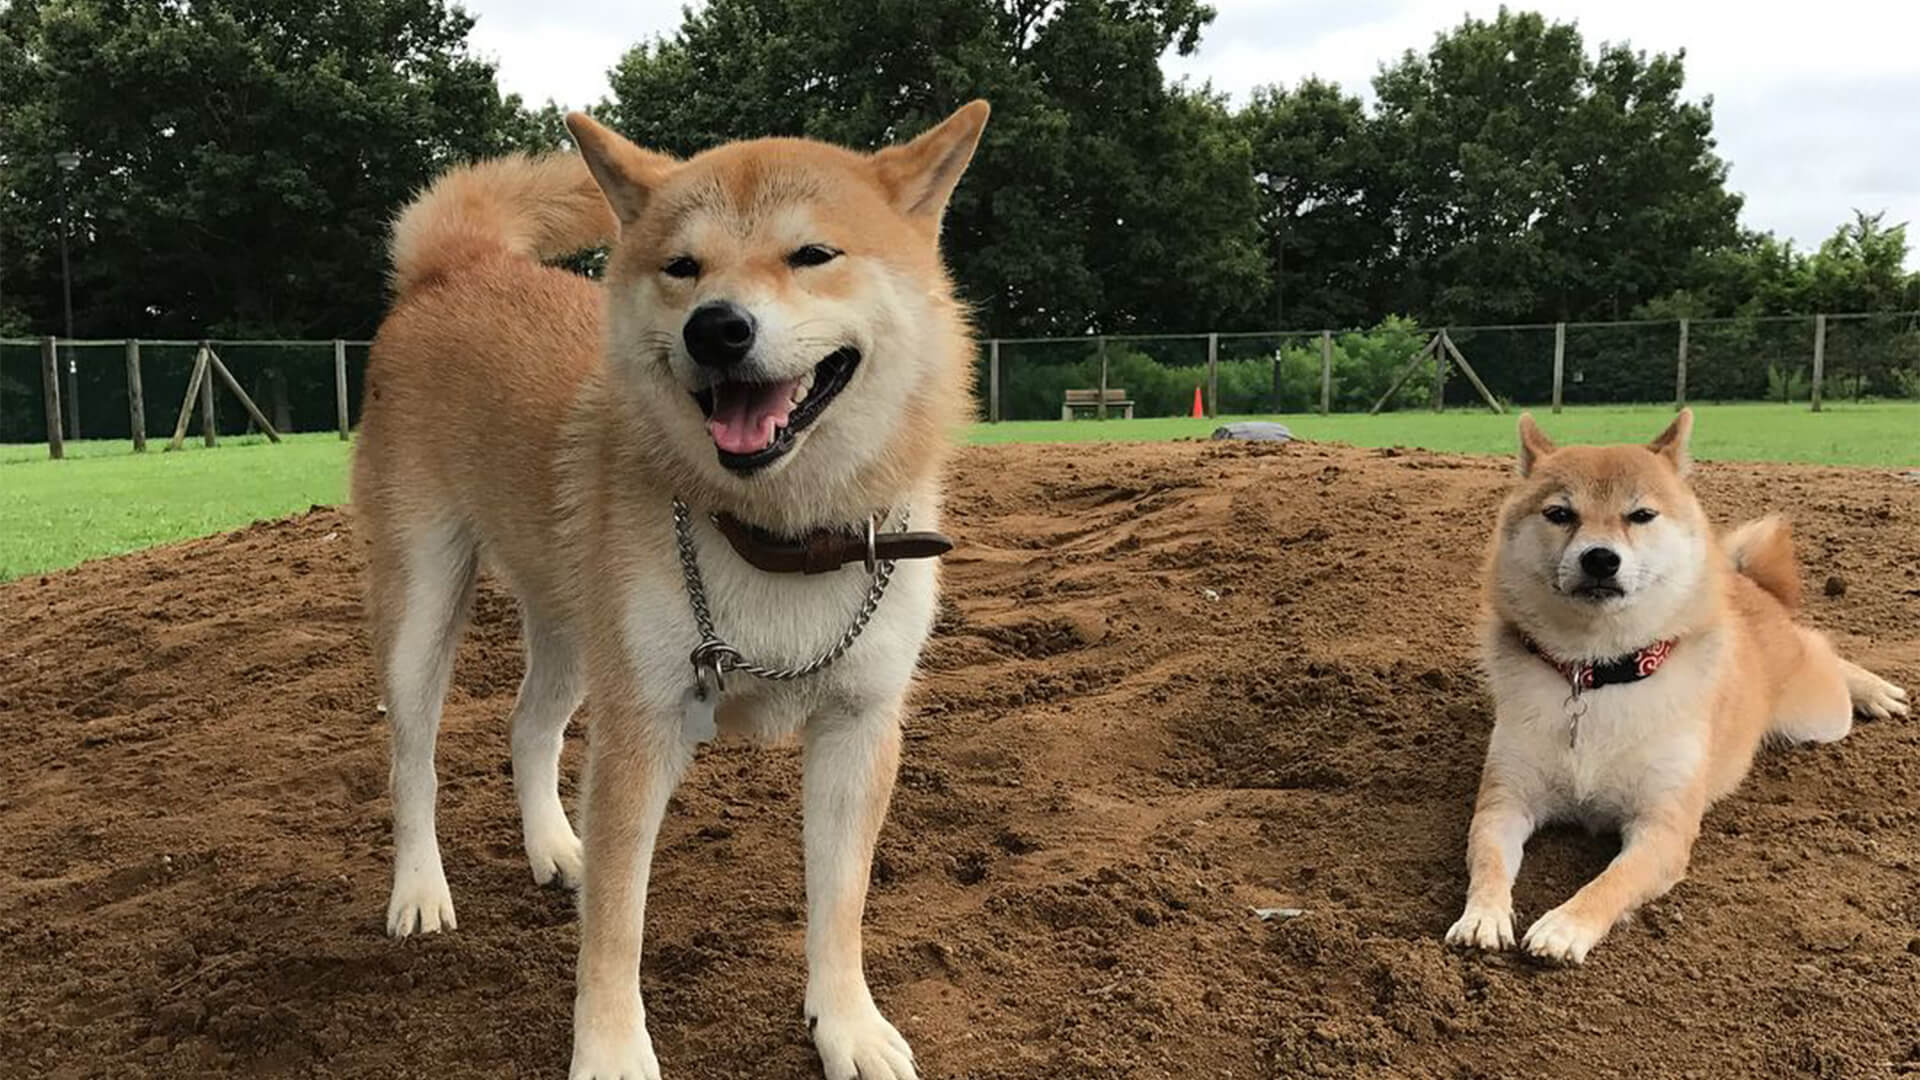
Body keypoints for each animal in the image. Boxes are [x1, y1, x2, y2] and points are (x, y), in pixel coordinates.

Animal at [355, 102, 998, 1076]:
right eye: (682, 267)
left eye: (813, 254)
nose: (716, 328)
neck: (782, 538)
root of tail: (459, 267)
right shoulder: (642, 727)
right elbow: (617, 925)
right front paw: (613, 1050)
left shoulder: (858, 725)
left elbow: (840, 903)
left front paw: (847, 1025)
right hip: (425, 607)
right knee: (412, 762)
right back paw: (420, 890)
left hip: (576, 628)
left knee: (528, 727)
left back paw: (554, 847)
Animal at [1443, 409, 1912, 957]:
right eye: (1559, 513)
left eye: (1641, 515)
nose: (1600, 557)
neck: (1597, 673)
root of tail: (1749, 586)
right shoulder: (1504, 803)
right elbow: (1489, 861)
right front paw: (1483, 914)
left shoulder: (1661, 827)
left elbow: (1611, 882)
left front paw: (1566, 925)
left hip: (1818, 716)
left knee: (1822, 647)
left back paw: (1872, 689)